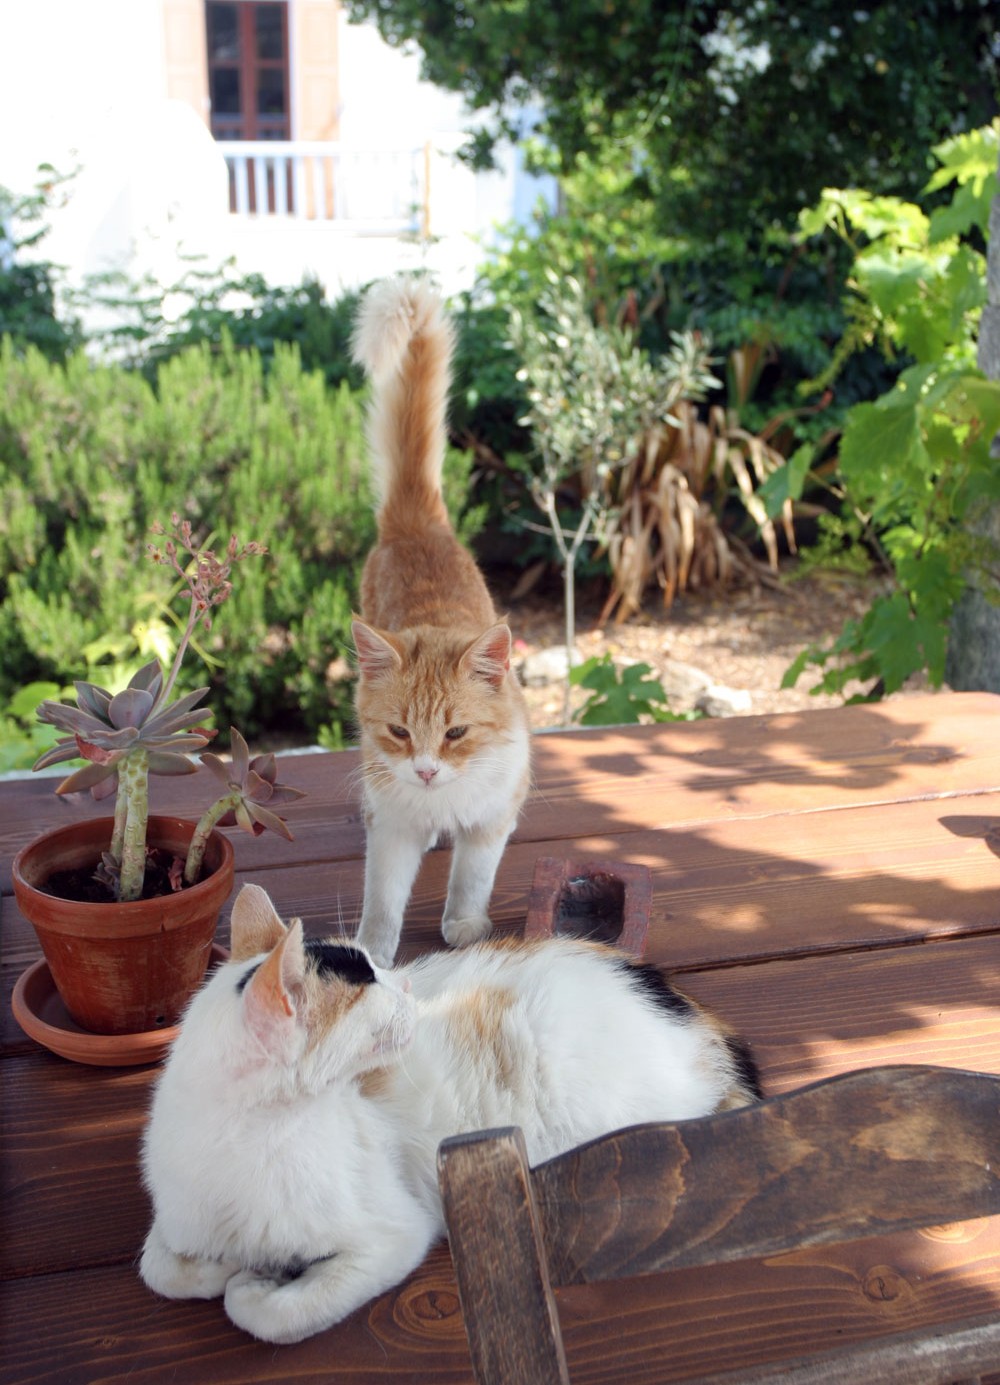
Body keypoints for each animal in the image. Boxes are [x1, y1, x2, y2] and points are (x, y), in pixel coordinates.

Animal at [139, 880, 759, 1346]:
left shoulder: (395, 1236)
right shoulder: (179, 1214)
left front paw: (251, 1283)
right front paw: (223, 1267)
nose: (408, 983)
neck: (241, 1142)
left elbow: (270, 1315)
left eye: (376, 964)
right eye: (371, 985)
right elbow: (157, 1266)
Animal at [346, 275, 529, 969]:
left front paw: (465, 926)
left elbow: (471, 879)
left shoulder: (491, 819)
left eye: (455, 734)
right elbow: (382, 901)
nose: (424, 770)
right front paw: (370, 953)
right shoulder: (391, 826)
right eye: (400, 731)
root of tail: (416, 520)